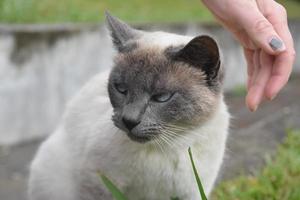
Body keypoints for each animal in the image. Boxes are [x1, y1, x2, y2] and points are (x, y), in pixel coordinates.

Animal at [28, 12, 230, 200]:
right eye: (121, 89)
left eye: (161, 97)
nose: (129, 121)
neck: (164, 147)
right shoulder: (98, 182)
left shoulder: (191, 192)